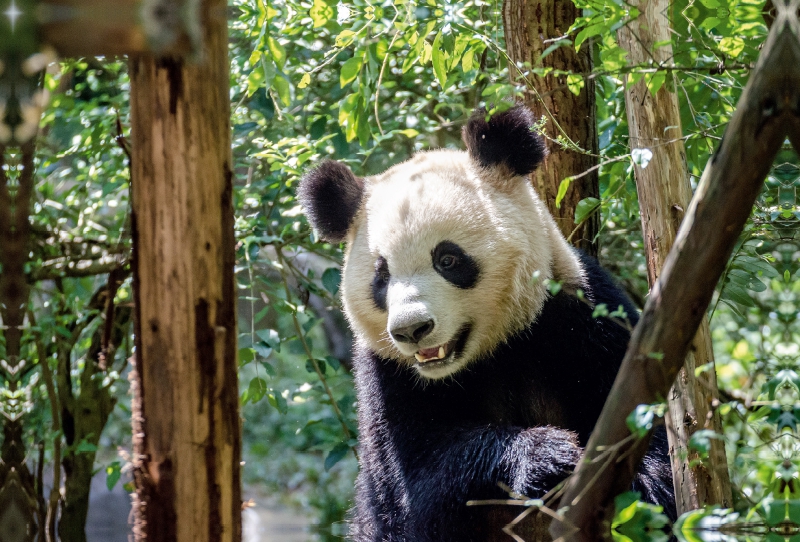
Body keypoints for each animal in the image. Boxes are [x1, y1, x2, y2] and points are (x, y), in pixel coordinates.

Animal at [298, 104, 676, 540]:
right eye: (381, 276)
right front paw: (544, 456)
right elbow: (414, 489)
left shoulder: (581, 318)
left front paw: (640, 494)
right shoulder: (387, 381)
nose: (411, 329)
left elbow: (647, 427)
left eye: (447, 259)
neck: (491, 353)